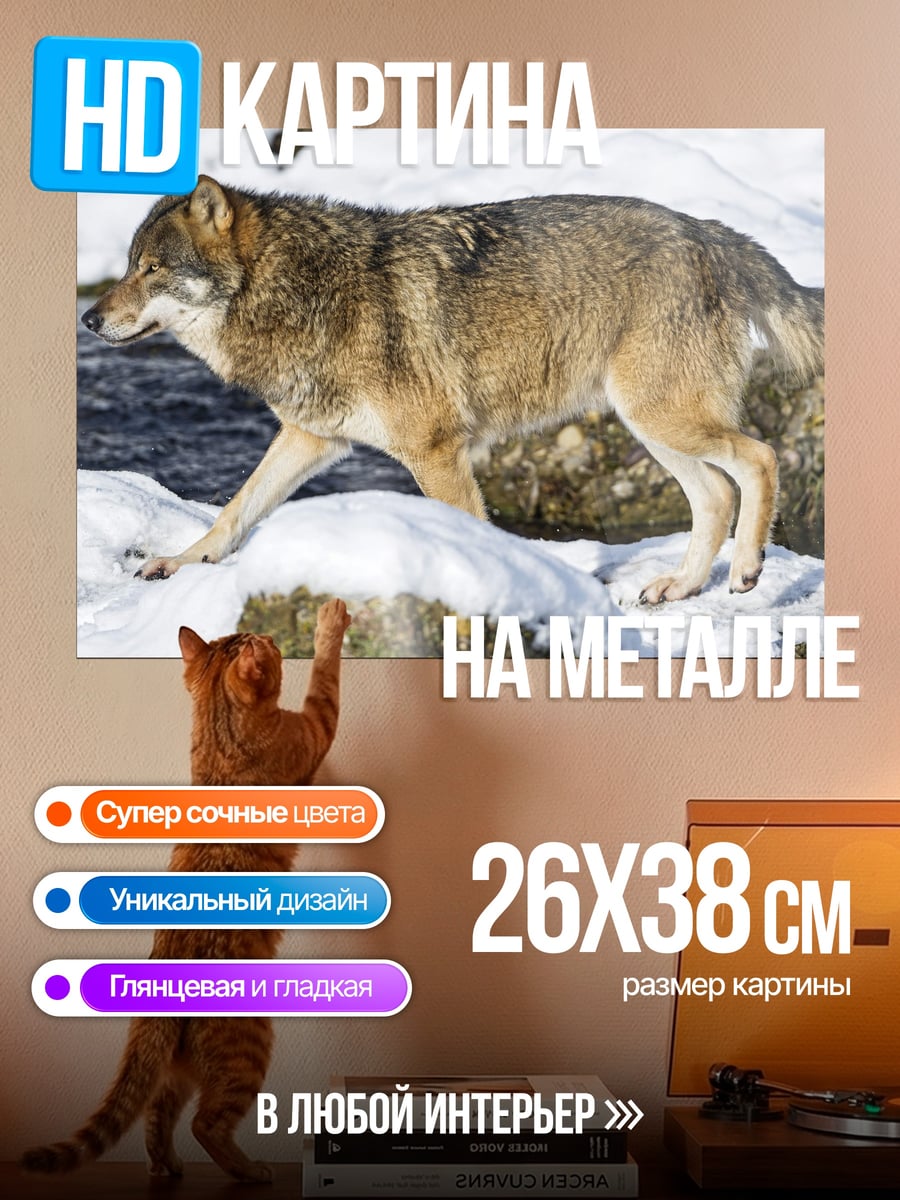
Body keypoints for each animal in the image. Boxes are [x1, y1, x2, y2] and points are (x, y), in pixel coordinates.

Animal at [82, 177, 823, 601]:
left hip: (661, 417)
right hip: (649, 423)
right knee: (716, 495)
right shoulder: (309, 439)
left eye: (152, 269)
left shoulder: (436, 451)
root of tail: (712, 232)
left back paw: (747, 570)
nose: (88, 320)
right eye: (127, 265)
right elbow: (233, 513)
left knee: (759, 458)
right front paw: (180, 563)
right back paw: (682, 586)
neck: (301, 292)